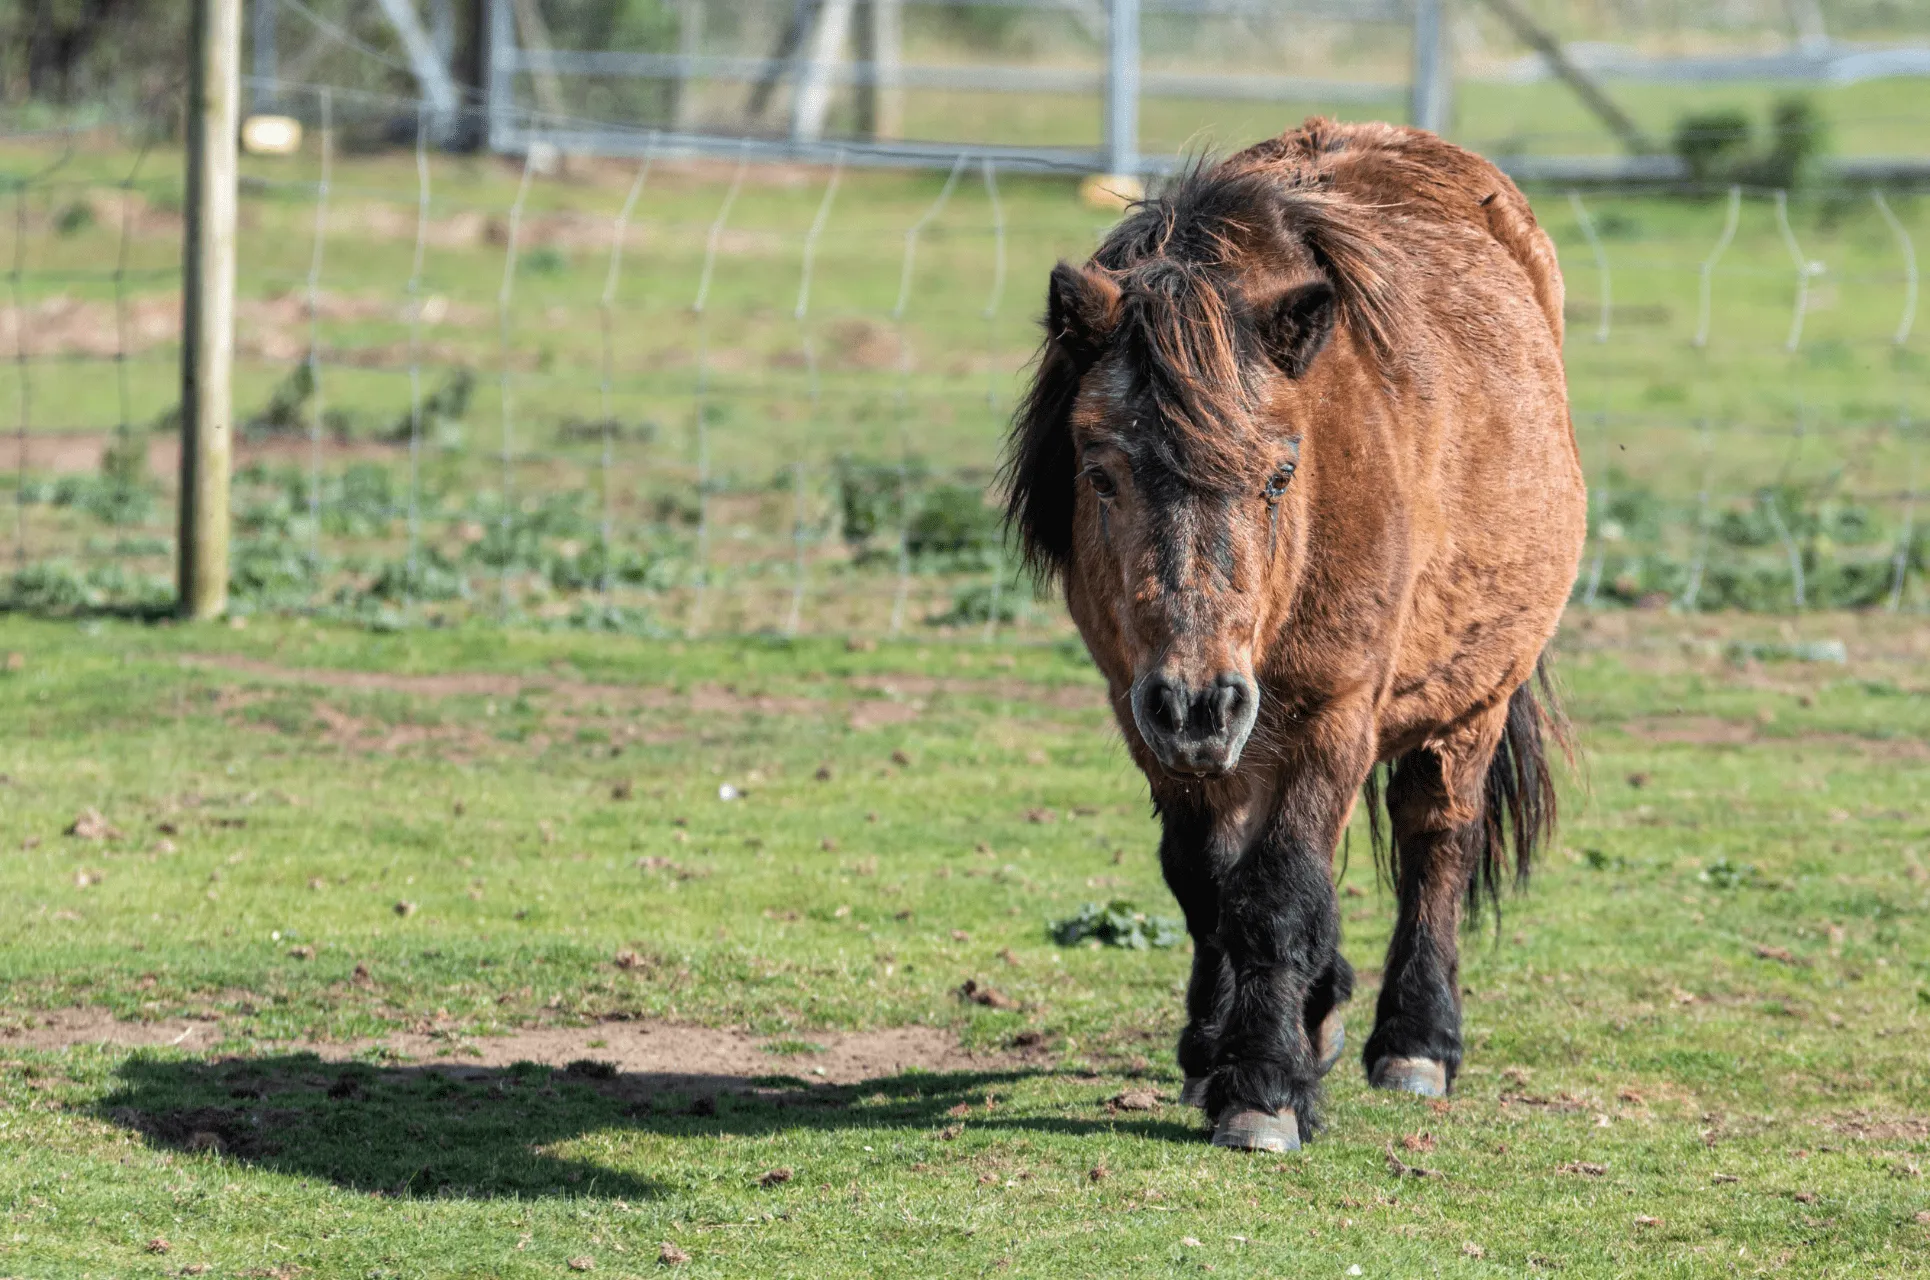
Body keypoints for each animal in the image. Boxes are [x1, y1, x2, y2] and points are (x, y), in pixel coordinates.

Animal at [1003, 119, 1586, 1152]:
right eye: (1100, 472)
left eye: (1279, 473)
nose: (1199, 702)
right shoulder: (1145, 718)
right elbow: (1205, 883)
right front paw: (1227, 1052)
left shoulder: (1331, 713)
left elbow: (1276, 895)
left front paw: (1265, 1091)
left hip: (1469, 702)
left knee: (1437, 839)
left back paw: (1416, 1042)